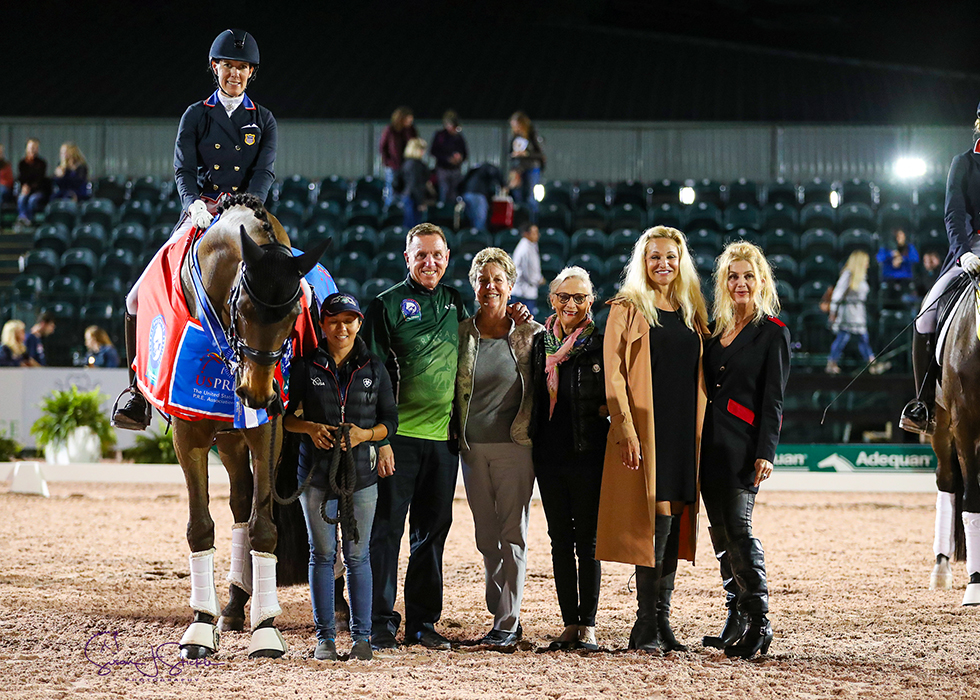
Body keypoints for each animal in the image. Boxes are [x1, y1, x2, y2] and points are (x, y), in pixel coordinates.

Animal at [146, 194, 330, 660]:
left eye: (296, 313)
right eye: (243, 307)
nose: (256, 394)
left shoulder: (268, 432)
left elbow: (264, 527)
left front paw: (265, 630)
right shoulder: (189, 433)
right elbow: (200, 527)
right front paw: (200, 626)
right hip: (227, 439)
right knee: (237, 506)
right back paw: (229, 607)